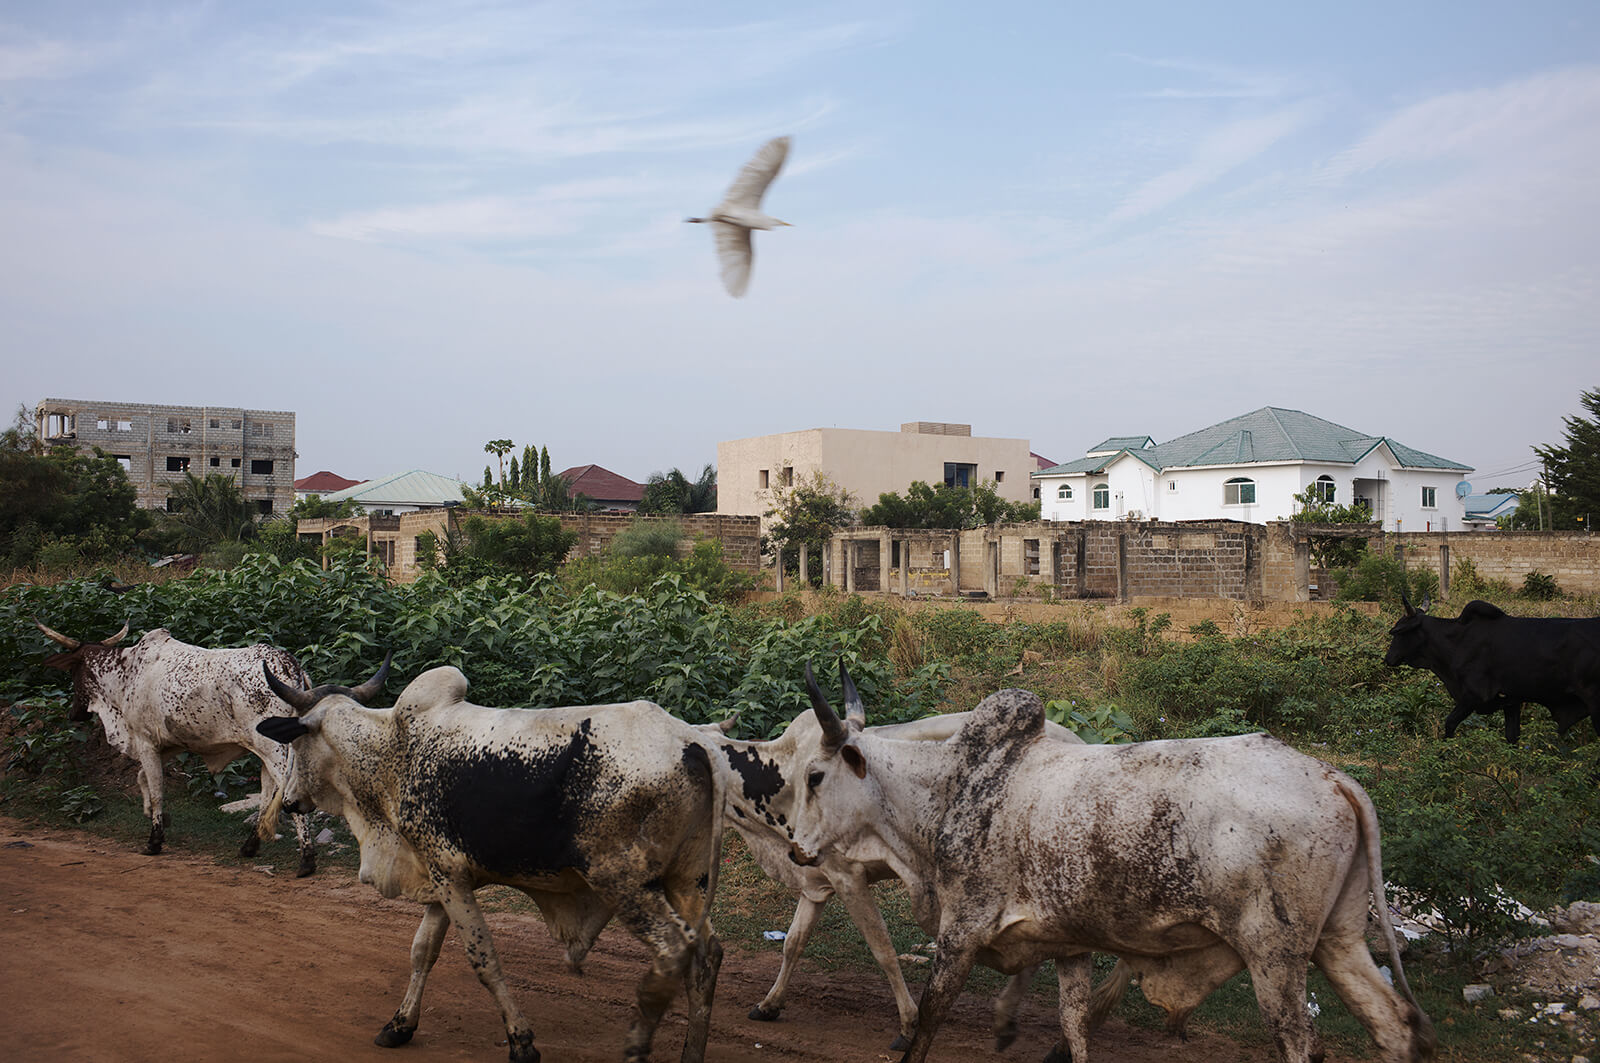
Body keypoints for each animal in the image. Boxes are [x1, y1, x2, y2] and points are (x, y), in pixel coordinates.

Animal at [33, 619, 342, 876]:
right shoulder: (167, 744)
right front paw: (153, 814)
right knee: (268, 795)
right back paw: (249, 847)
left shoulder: (145, 742)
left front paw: (154, 839)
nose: (74, 714)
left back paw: (306, 861)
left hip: (275, 749)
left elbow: (156, 789)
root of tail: (291, 666)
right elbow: (143, 779)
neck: (126, 673)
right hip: (269, 753)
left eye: (74, 670)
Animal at [257, 663, 728, 1063]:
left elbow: (483, 958)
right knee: (706, 956)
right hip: (687, 880)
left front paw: (521, 1042)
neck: (392, 747)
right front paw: (400, 1025)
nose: (292, 801)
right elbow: (422, 952)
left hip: (623, 882)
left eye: (295, 740)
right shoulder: (439, 875)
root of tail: (693, 743)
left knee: (674, 950)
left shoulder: (451, 877)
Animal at [785, 675, 1435, 1063]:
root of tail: (1335, 777)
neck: (949, 790)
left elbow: (927, 1023)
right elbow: (1074, 1029)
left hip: (1274, 955)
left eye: (815, 776)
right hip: (1338, 940)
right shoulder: (1069, 945)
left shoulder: (961, 931)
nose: (794, 847)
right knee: (1393, 1024)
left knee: (1300, 1043)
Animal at [1384, 594, 1600, 744]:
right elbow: (1512, 737)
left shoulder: (1473, 696)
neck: (1456, 641)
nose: (1388, 658)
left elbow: (1449, 724)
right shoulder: (1511, 701)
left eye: (1399, 632)